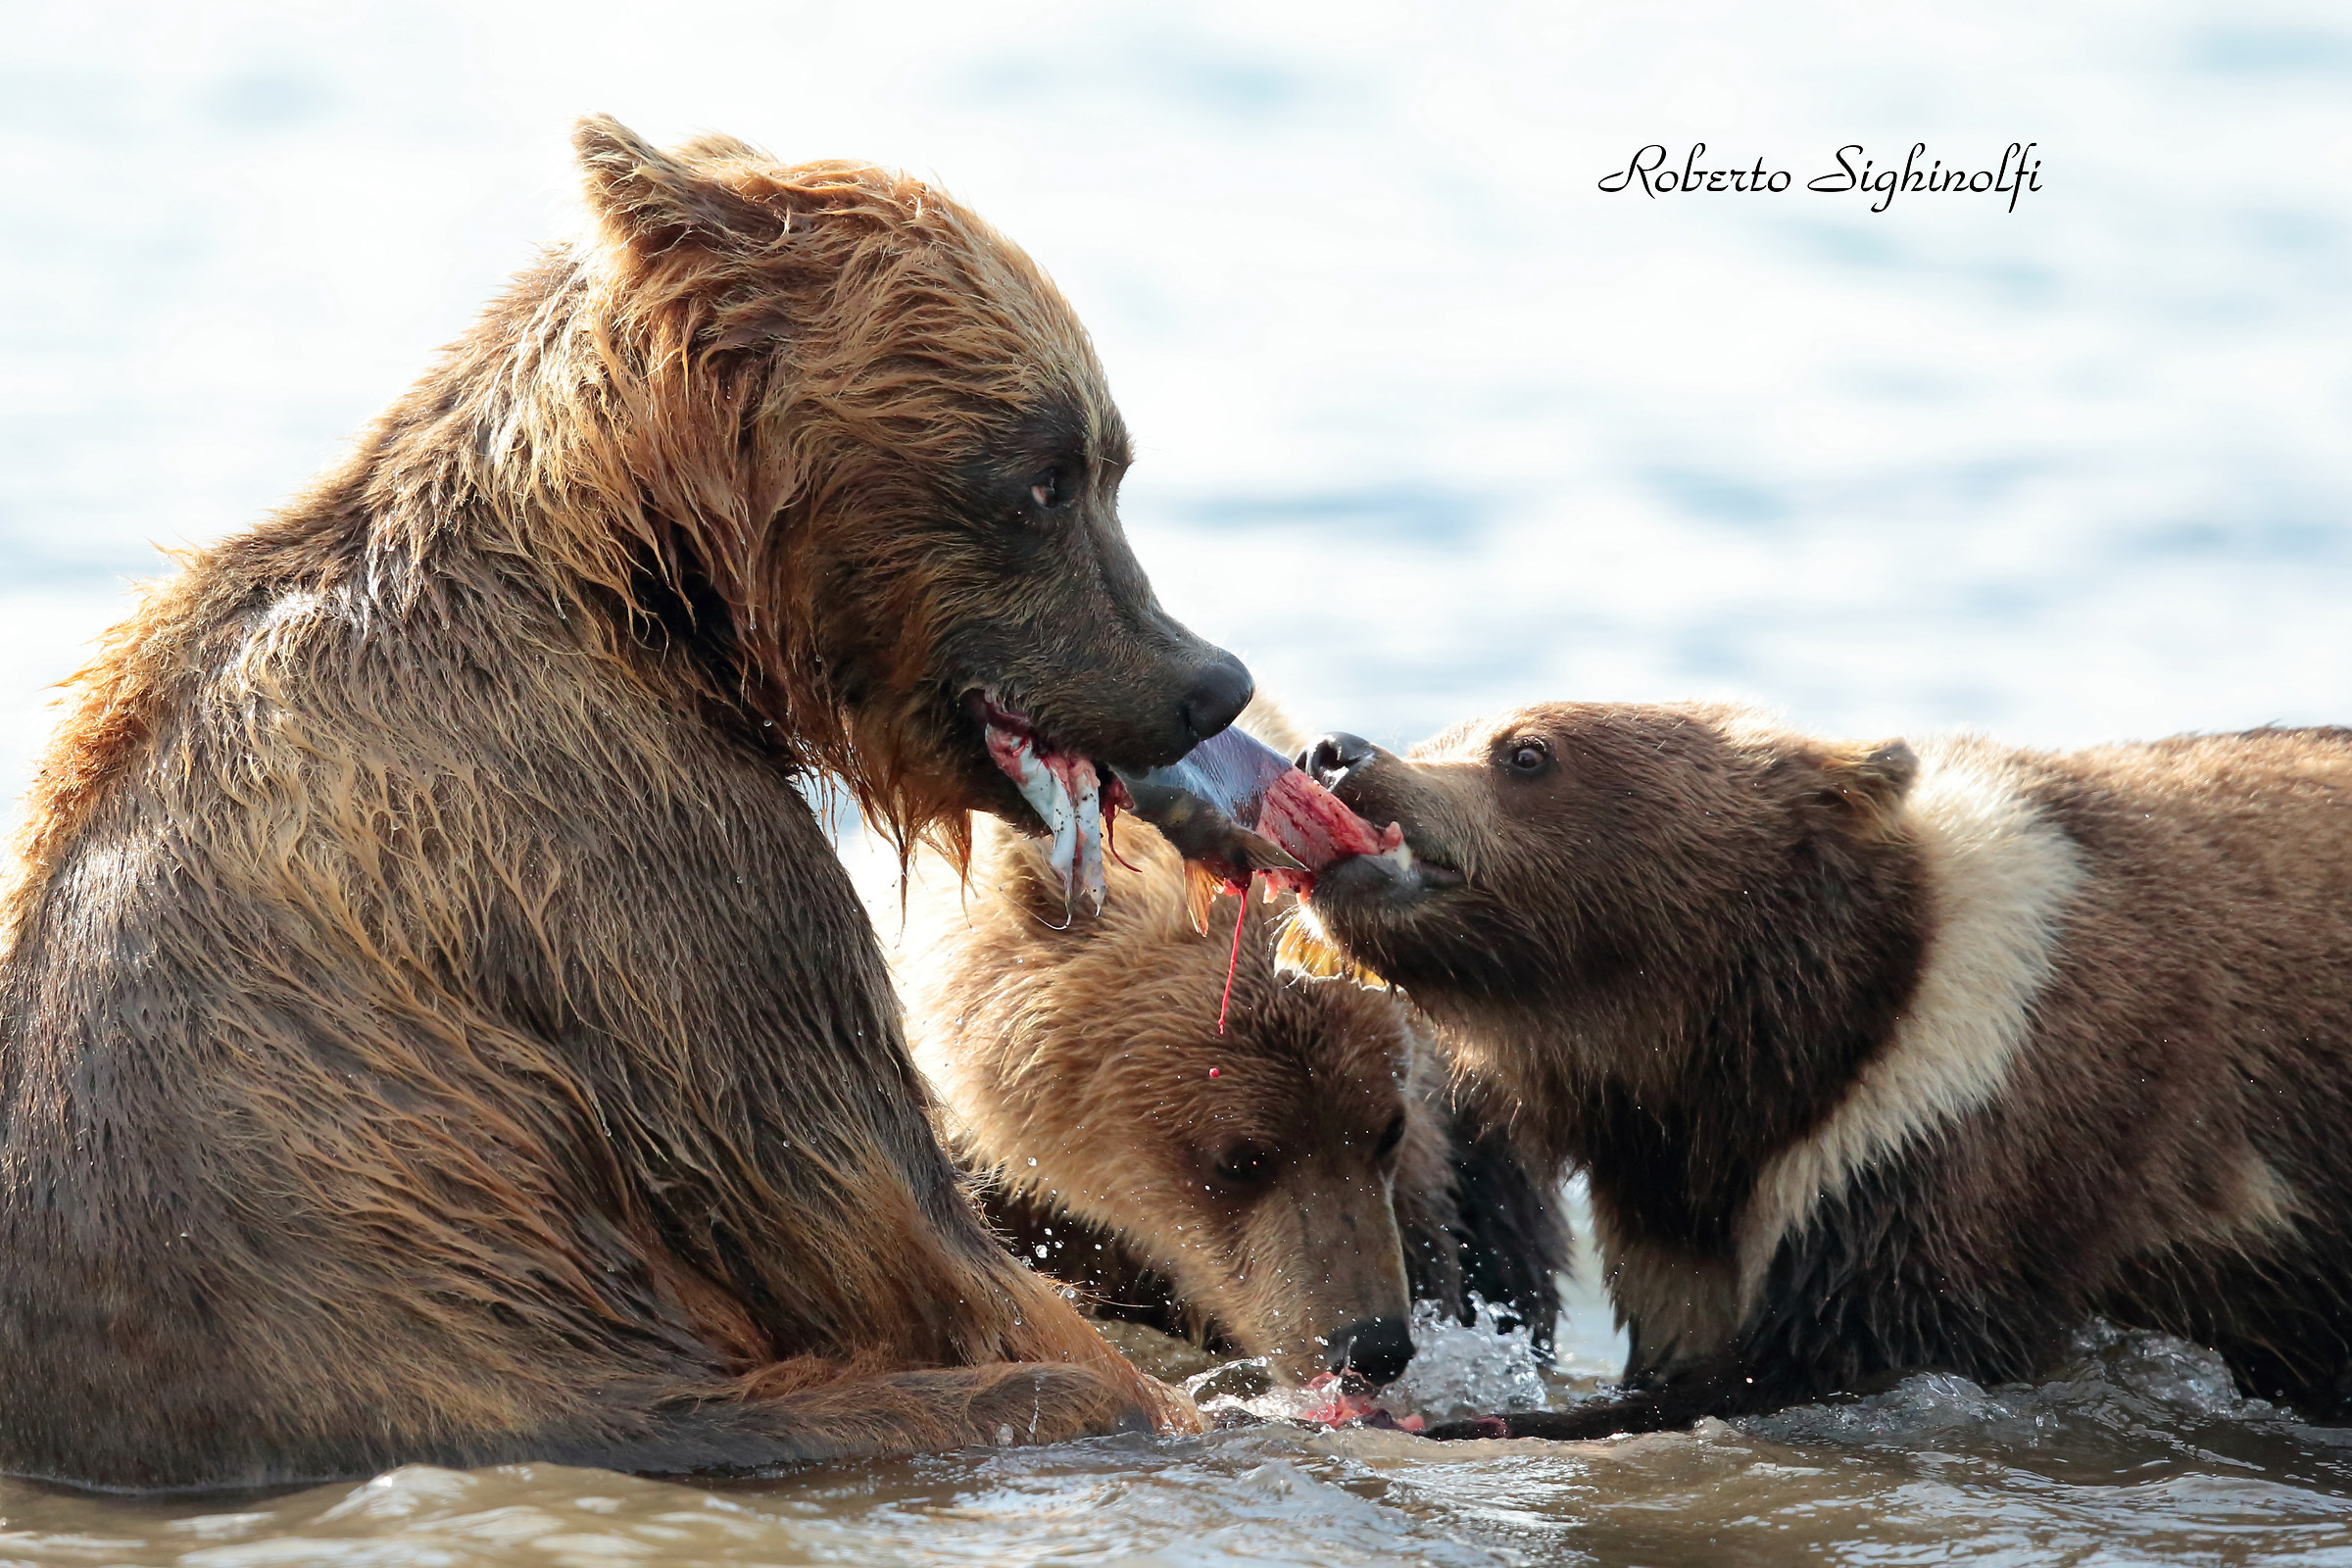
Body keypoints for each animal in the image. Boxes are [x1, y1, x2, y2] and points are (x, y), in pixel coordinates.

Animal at [0, 117, 1256, 1489]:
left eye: (1108, 464)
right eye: (1045, 477)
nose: (1209, 681)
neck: (648, 586)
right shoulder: (648, 867)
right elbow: (891, 1230)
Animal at [1291, 704, 2352, 1438]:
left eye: (1526, 751)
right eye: (1450, 727)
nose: (1337, 750)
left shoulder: (1963, 1103)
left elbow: (1845, 1348)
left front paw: (1469, 1418)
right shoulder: (1682, 1209)